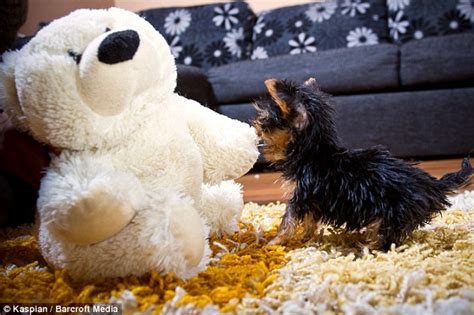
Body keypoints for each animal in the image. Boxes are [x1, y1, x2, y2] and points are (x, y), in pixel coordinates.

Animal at [254, 78, 472, 251]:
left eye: (266, 122)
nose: (257, 129)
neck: (313, 153)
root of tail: (430, 185)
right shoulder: (314, 198)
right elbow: (310, 220)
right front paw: (306, 237)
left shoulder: (303, 193)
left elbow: (288, 219)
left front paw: (274, 241)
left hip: (393, 211)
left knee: (385, 236)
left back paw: (364, 248)